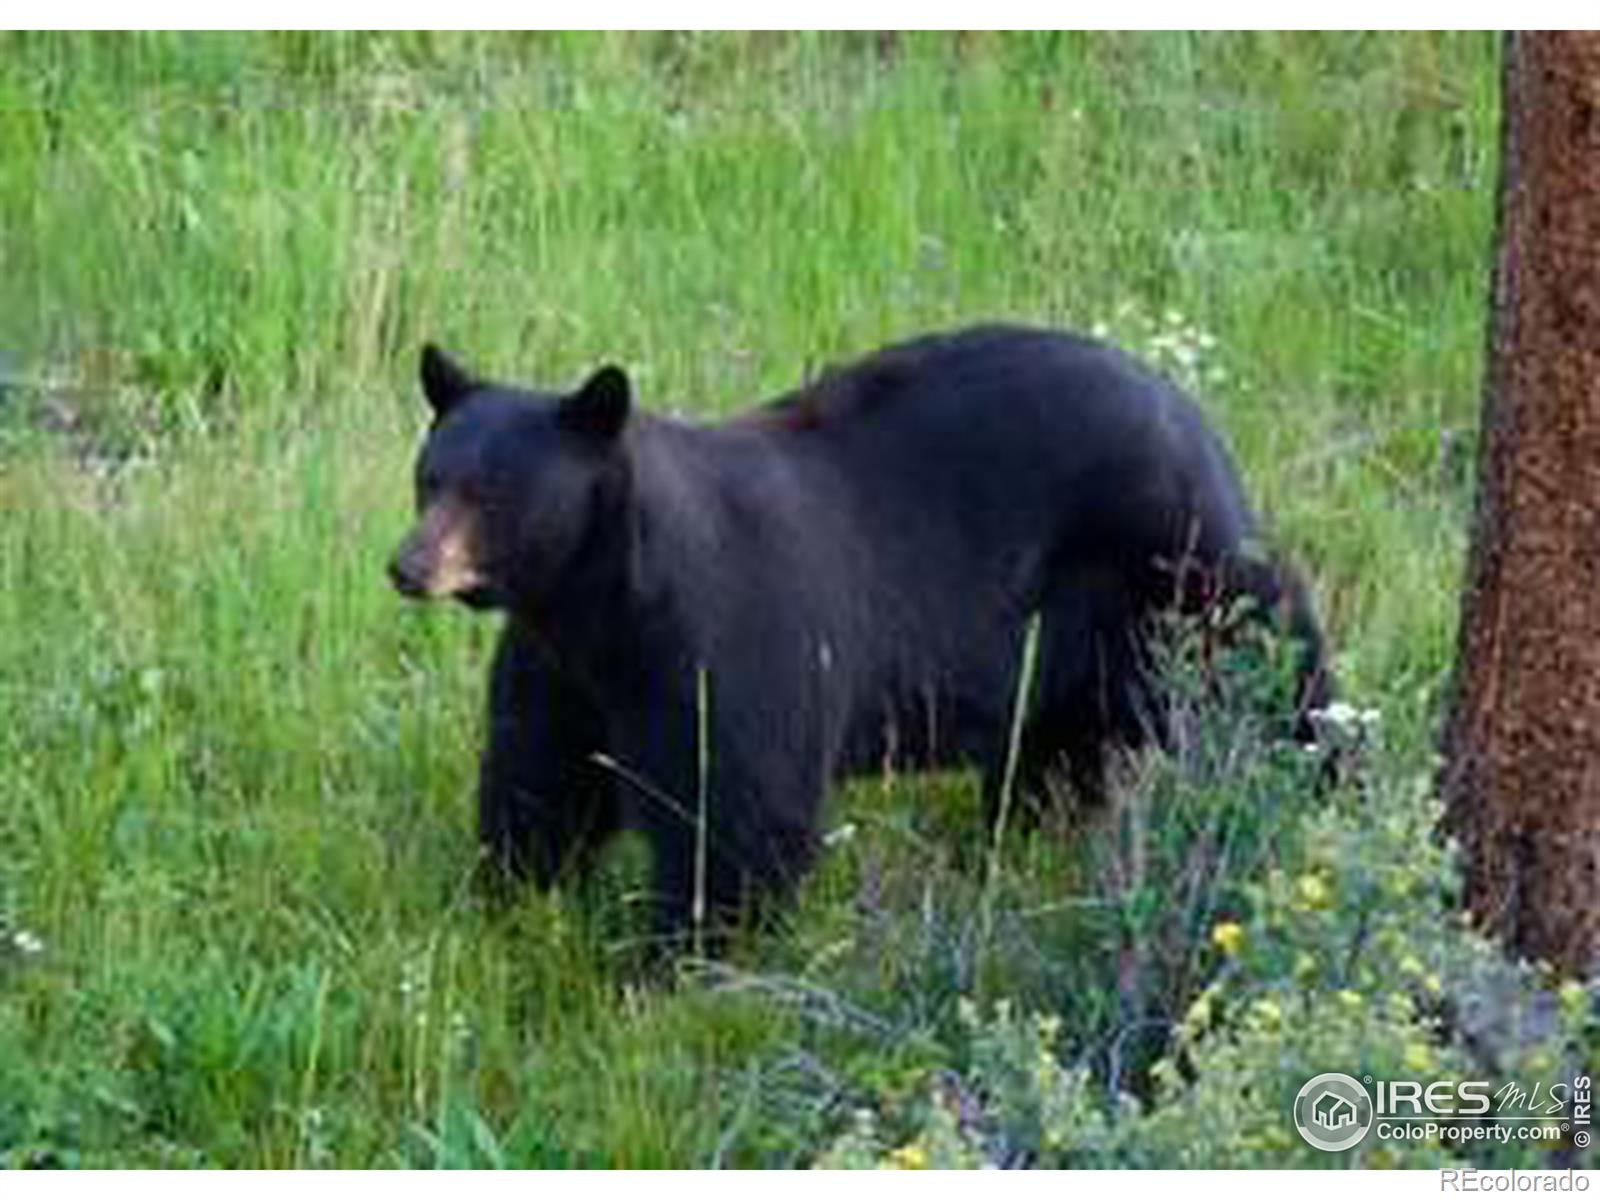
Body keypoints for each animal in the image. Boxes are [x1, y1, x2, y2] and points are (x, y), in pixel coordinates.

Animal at [387, 326, 1324, 947]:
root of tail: (1189, 409)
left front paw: (679, 959)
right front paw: (507, 903)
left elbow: (738, 808)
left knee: (1280, 665)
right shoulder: (560, 667)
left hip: (1182, 570)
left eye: (492, 494)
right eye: (429, 479)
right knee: (1056, 753)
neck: (601, 599)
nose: (407, 565)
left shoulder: (722, 638)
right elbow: (540, 780)